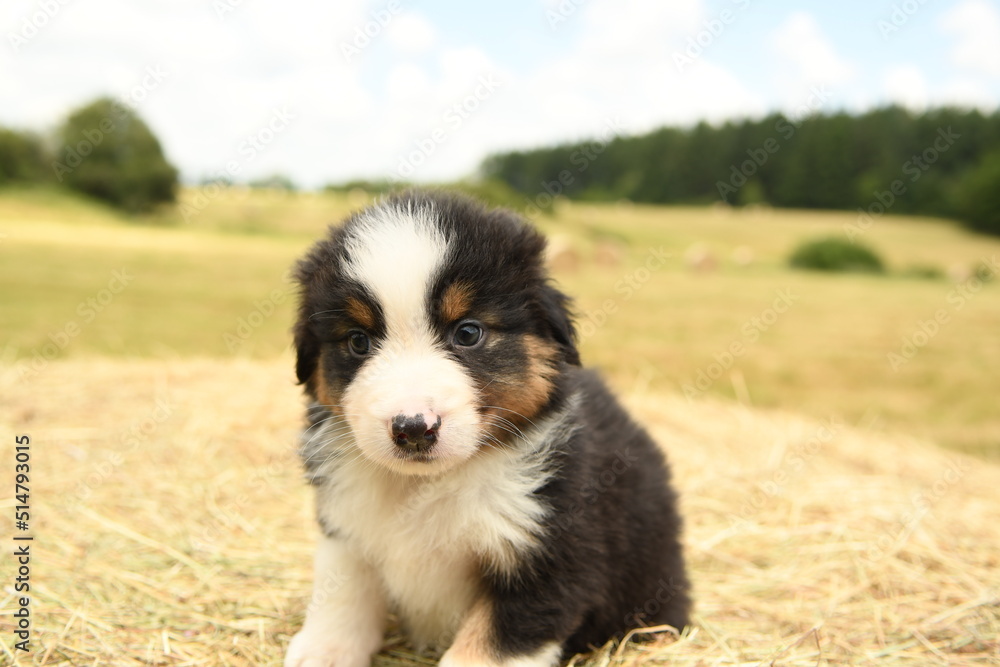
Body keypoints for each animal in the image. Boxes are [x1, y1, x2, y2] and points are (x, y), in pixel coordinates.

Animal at [282, 192, 688, 667]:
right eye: (358, 341)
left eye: (468, 333)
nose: (413, 429)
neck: (429, 485)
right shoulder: (347, 522)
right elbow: (343, 589)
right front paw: (324, 649)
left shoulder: (552, 549)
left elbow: (492, 642)